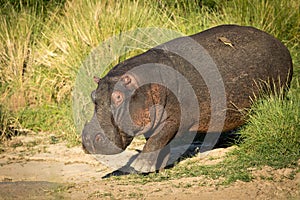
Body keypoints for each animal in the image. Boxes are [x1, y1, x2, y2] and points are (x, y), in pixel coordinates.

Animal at [81, 24, 292, 172]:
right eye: (93, 95)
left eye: (117, 96)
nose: (89, 138)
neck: (143, 82)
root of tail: (280, 43)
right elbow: (158, 142)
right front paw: (160, 166)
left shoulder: (172, 118)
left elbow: (156, 140)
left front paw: (140, 167)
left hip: (279, 93)